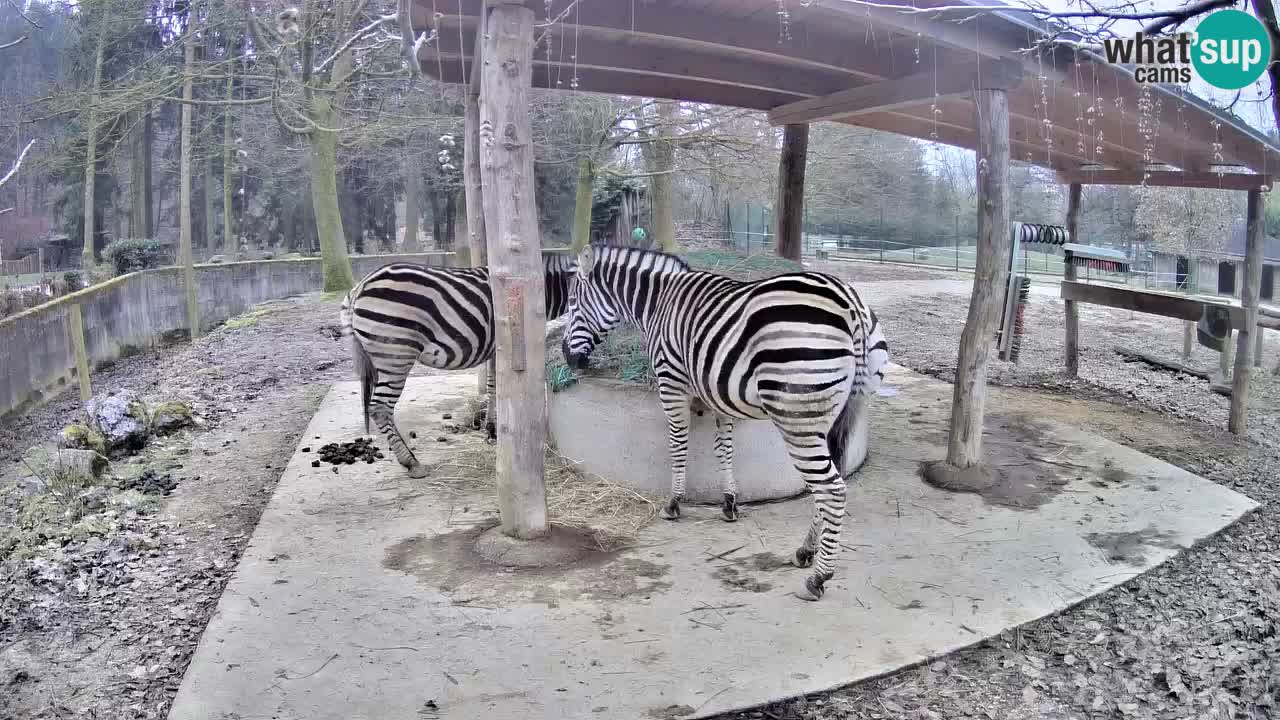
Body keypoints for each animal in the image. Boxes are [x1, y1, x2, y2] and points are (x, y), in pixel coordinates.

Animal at [343, 252, 578, 476]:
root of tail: (360, 286)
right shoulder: (501, 344)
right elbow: (496, 386)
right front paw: (493, 429)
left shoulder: (495, 349)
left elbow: (492, 386)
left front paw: (490, 429)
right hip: (396, 354)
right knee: (379, 407)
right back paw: (411, 462)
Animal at [560, 243, 890, 597]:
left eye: (572, 303)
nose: (568, 358)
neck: (658, 302)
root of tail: (849, 303)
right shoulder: (717, 393)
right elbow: (725, 448)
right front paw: (729, 502)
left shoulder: (671, 383)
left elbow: (679, 445)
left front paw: (674, 503)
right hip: (842, 409)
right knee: (831, 484)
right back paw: (805, 551)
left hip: (797, 418)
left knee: (833, 489)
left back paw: (818, 577)